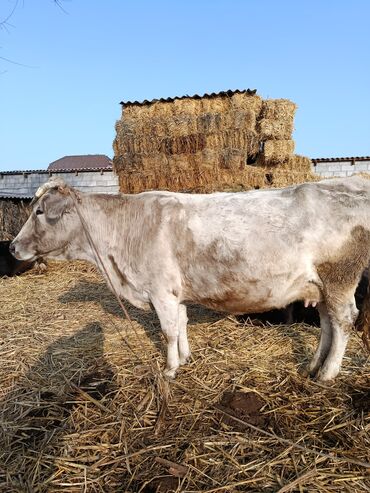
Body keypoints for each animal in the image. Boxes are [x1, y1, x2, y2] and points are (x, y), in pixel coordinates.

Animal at [9, 177, 370, 380]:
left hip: (339, 278)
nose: (12, 246)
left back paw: (327, 373)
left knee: (343, 321)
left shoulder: (160, 291)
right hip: (321, 286)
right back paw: (313, 366)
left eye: (39, 211)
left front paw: (169, 369)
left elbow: (168, 331)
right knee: (327, 323)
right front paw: (184, 358)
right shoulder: (175, 292)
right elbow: (181, 324)